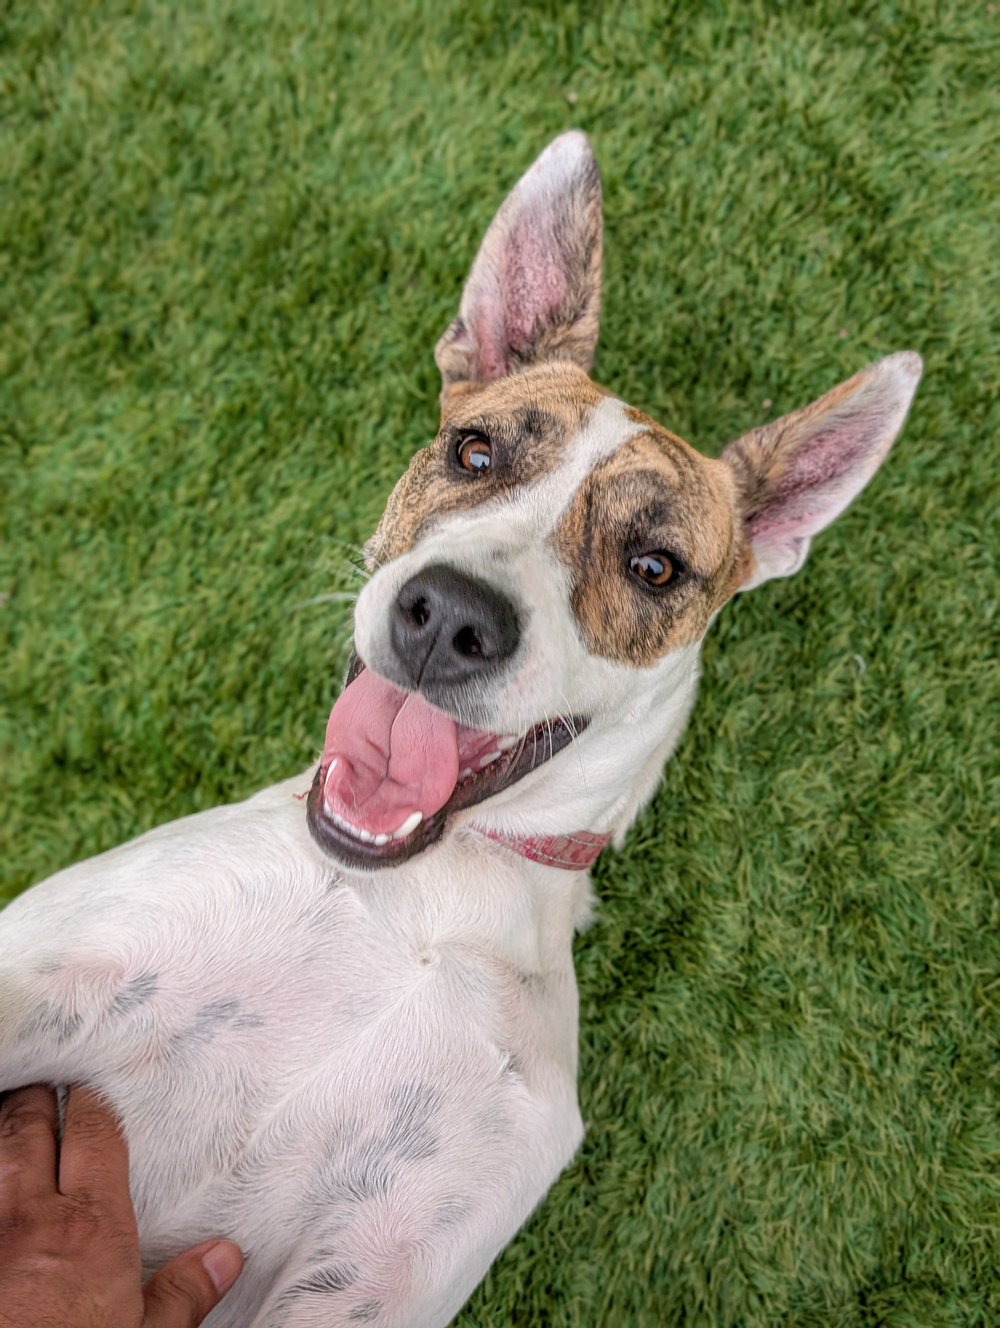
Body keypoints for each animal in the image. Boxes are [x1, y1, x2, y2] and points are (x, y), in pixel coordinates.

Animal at [0, 137, 918, 1328]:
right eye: (474, 452)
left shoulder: (379, 1273)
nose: (447, 617)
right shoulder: (36, 978)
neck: (437, 887)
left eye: (654, 565)